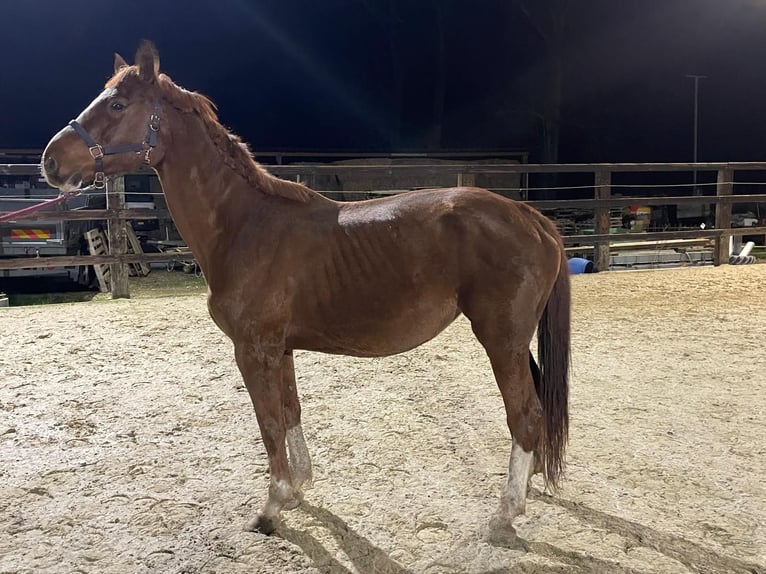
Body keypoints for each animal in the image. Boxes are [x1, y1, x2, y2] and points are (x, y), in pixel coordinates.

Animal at [42, 41, 568, 548]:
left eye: (117, 104)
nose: (51, 161)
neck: (245, 225)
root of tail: (532, 218)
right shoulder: (282, 348)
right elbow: (291, 411)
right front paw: (298, 491)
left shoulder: (252, 350)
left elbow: (269, 423)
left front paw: (272, 508)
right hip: (516, 343)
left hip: (500, 340)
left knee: (524, 415)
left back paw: (504, 515)